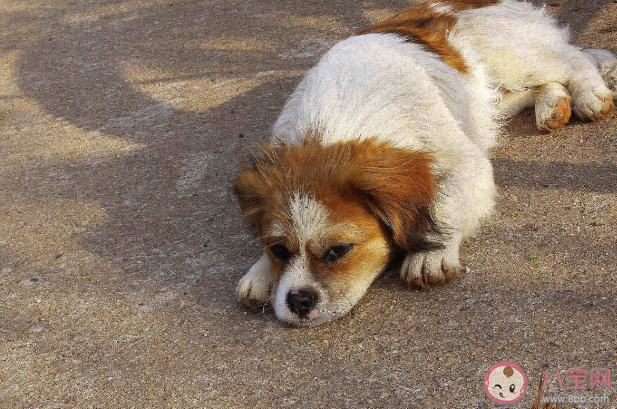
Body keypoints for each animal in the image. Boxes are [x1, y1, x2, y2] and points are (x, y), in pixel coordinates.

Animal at [232, 0, 616, 326]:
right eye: (278, 249)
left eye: (338, 251)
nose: (298, 300)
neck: (331, 126)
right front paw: (260, 273)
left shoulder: (466, 164)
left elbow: (444, 205)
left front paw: (431, 253)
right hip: (491, 98)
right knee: (539, 85)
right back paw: (553, 105)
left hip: (514, 56)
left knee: (575, 61)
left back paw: (590, 94)